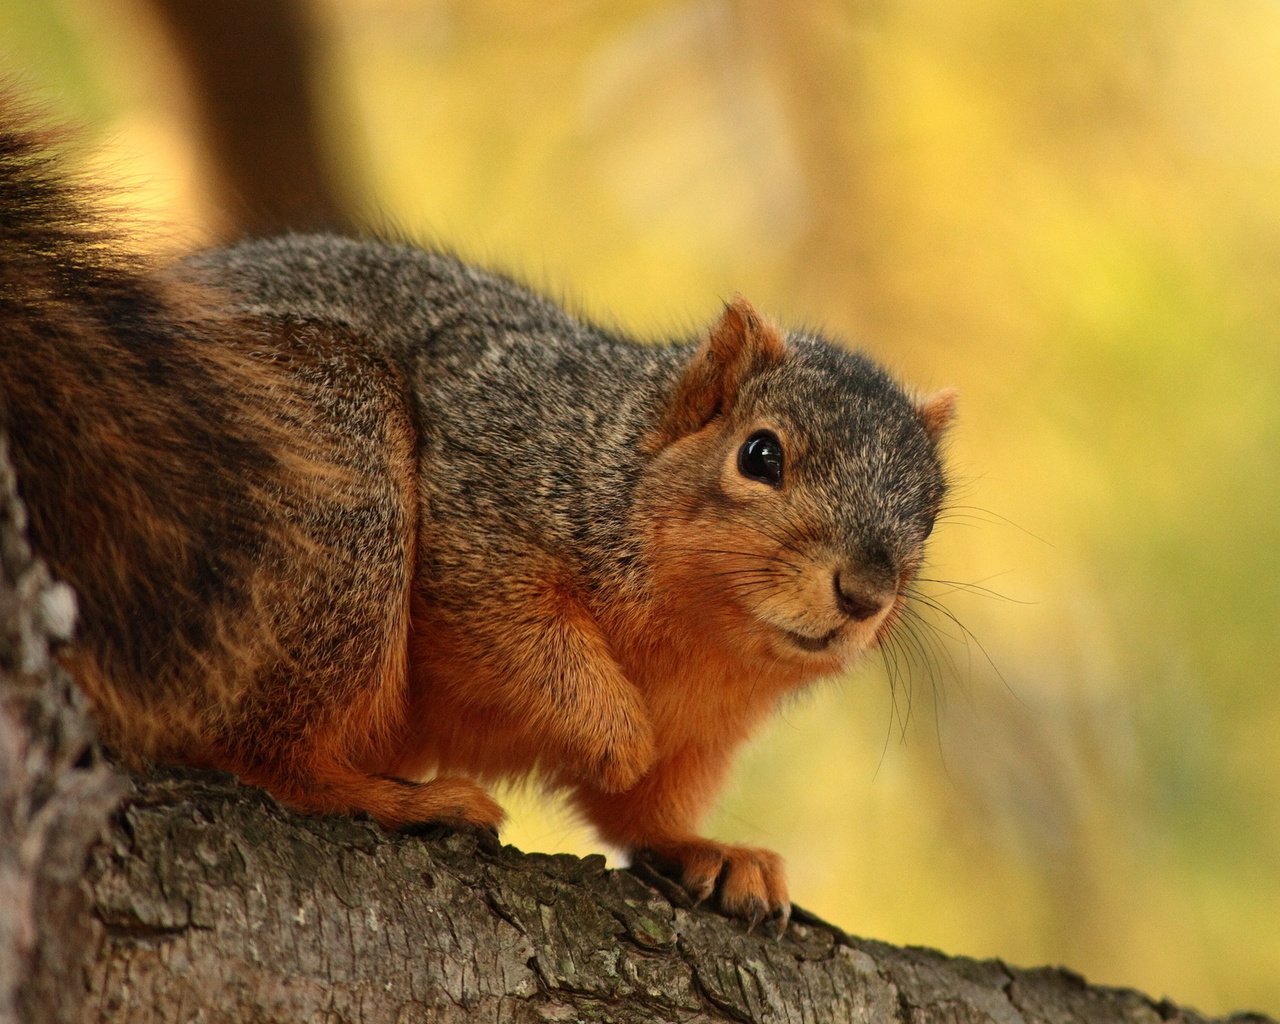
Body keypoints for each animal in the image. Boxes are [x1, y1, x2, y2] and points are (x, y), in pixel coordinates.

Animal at [0, 108, 952, 931]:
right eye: (760, 455)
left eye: (930, 512)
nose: (865, 592)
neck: (700, 638)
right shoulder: (485, 511)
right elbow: (520, 635)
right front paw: (617, 735)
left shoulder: (707, 735)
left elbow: (644, 811)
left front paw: (708, 850)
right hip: (325, 475)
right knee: (265, 748)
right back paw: (394, 797)